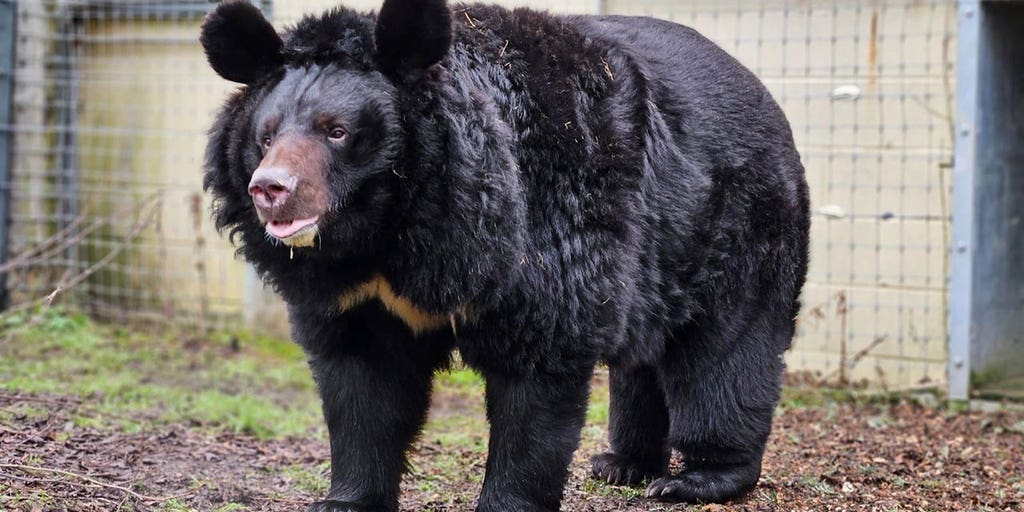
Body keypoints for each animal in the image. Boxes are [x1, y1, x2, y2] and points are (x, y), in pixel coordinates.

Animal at [200, 0, 810, 510]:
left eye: (338, 132)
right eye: (265, 137)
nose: (269, 189)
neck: (392, 231)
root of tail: (764, 93)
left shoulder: (543, 234)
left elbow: (537, 379)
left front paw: (508, 501)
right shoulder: (355, 296)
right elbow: (362, 388)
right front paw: (346, 501)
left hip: (738, 227)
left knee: (724, 354)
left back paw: (696, 478)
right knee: (641, 359)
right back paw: (622, 464)